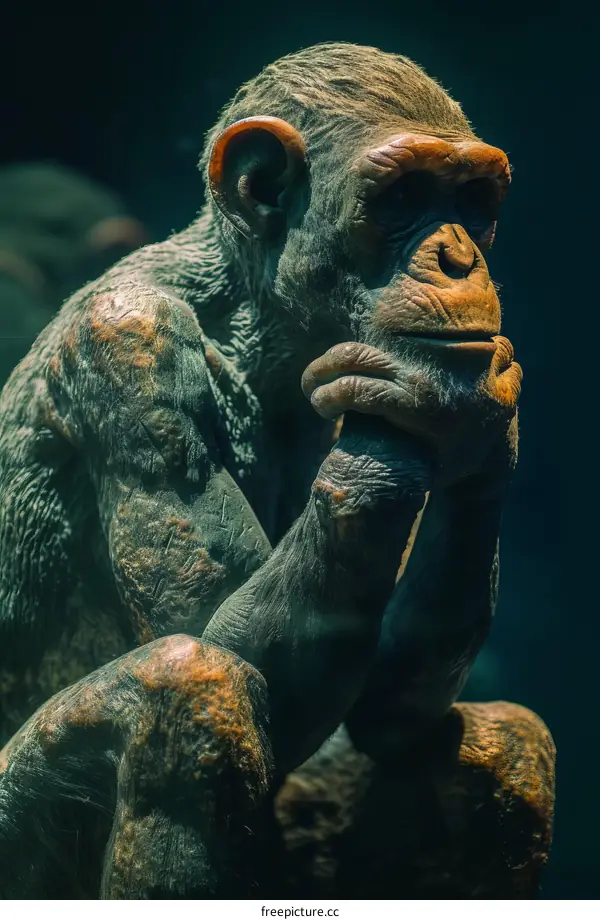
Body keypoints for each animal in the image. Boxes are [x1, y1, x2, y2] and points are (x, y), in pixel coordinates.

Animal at [0, 43, 521, 897]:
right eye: (407, 194)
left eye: (472, 197)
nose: (458, 256)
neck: (252, 315)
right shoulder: (128, 344)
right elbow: (216, 631)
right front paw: (430, 387)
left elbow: (390, 711)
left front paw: (478, 411)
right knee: (190, 683)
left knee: (506, 741)